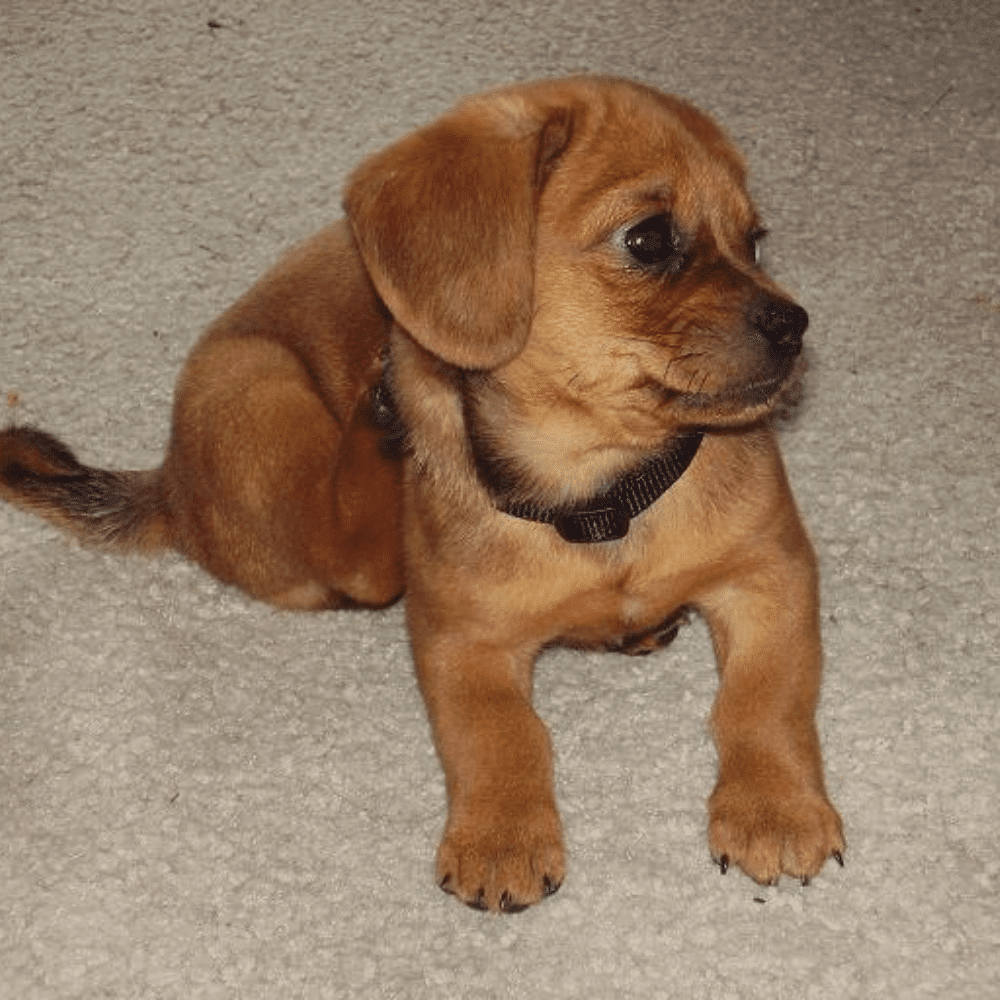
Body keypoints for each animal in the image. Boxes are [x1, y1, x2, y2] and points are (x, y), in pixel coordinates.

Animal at [0, 74, 844, 912]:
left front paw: (775, 808)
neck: (604, 495)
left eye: (755, 239)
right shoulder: (459, 638)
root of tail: (170, 487)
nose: (795, 326)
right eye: (649, 239)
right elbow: (499, 734)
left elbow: (763, 701)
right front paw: (501, 837)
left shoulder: (773, 574)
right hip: (259, 398)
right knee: (350, 554)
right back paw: (377, 426)